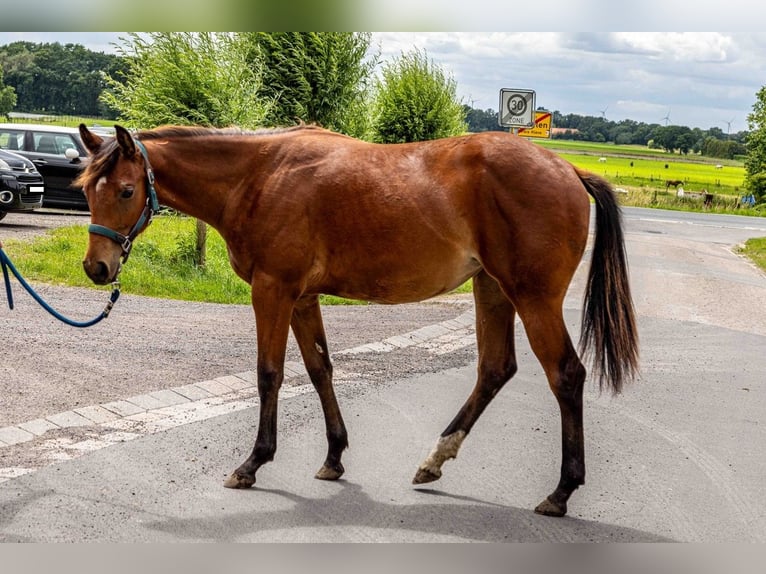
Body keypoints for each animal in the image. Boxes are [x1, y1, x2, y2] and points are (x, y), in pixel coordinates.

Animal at [76, 123, 638, 517]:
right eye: (86, 190)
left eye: (125, 190)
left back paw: (561, 491)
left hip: (532, 298)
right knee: (495, 369)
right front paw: (334, 456)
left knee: (566, 375)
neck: (258, 175)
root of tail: (568, 170)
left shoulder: (273, 291)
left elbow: (269, 374)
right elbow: (320, 369)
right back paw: (435, 459)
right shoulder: (302, 298)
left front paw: (253, 463)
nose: (96, 267)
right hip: (493, 290)